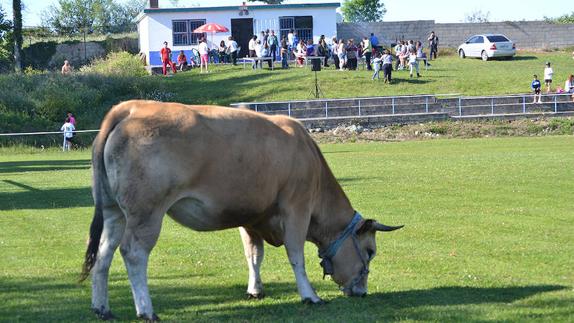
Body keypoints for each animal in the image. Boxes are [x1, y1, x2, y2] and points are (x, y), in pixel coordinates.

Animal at [82, 102, 404, 322]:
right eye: (370, 251)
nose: (362, 291)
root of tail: (130, 107)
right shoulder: (296, 207)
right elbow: (296, 255)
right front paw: (309, 296)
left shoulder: (251, 217)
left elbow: (253, 255)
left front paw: (255, 290)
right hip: (146, 212)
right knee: (133, 253)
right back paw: (146, 311)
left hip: (113, 210)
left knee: (104, 252)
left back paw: (101, 308)